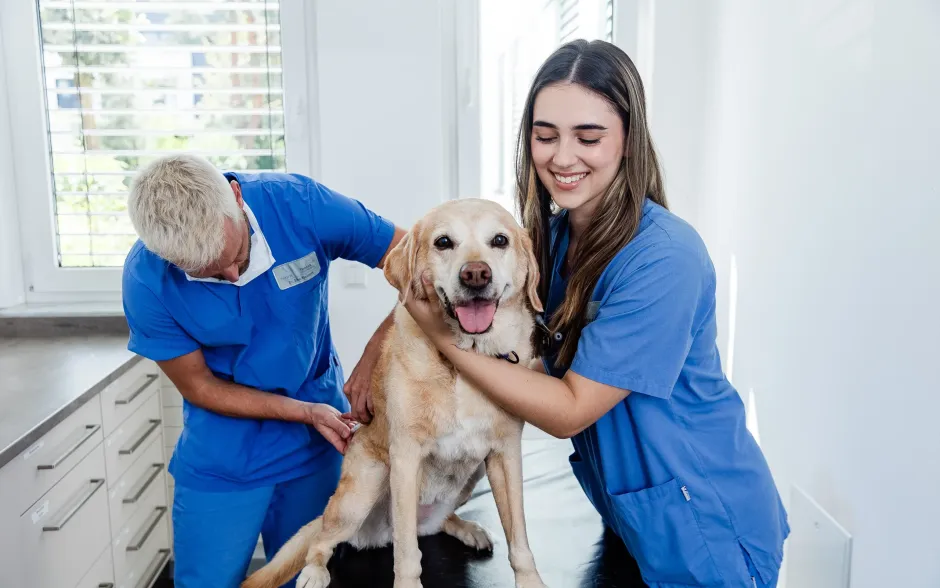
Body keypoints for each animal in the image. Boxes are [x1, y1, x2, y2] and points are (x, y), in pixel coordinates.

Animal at [242, 199, 548, 588]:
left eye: (499, 240)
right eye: (443, 242)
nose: (476, 274)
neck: (464, 361)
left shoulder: (505, 455)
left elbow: (519, 538)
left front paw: (530, 581)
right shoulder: (405, 457)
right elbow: (406, 555)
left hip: (475, 472)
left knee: (435, 526)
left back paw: (467, 528)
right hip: (364, 488)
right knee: (324, 540)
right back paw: (313, 571)